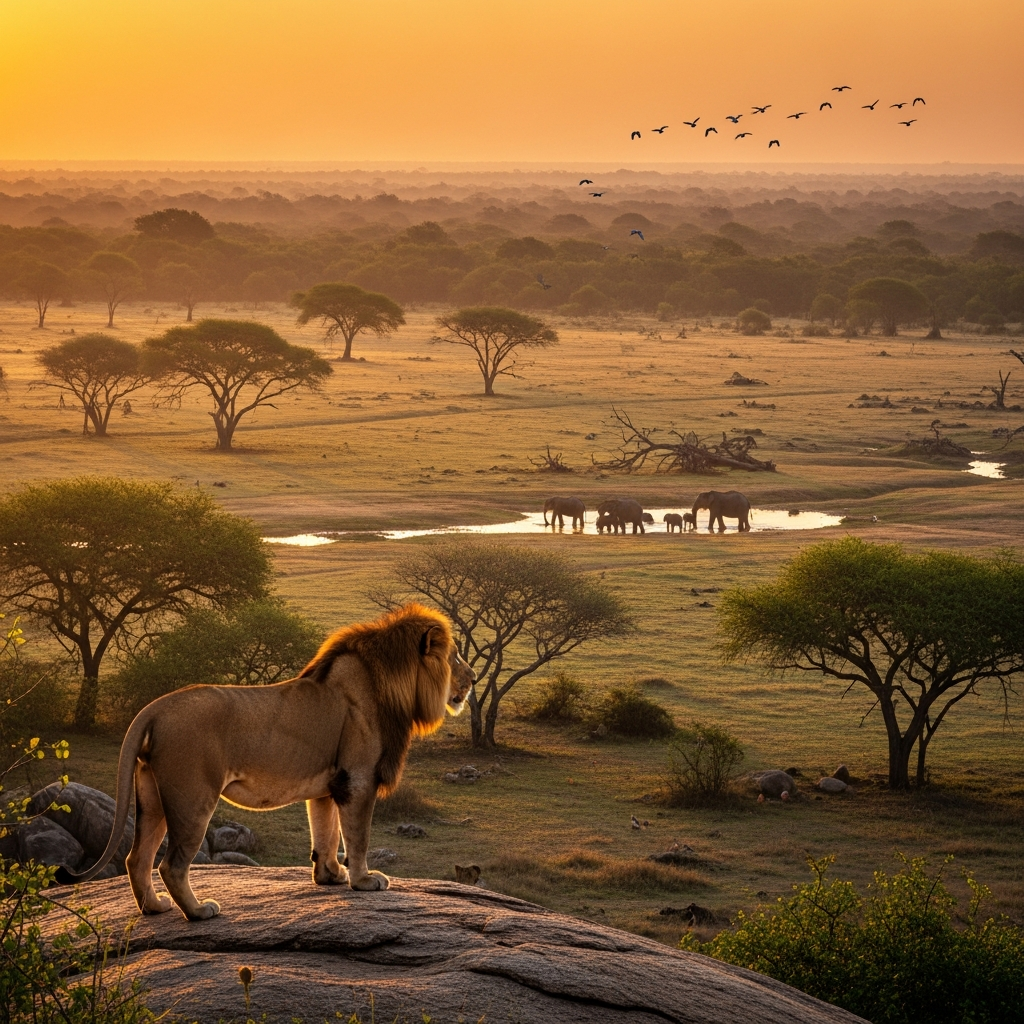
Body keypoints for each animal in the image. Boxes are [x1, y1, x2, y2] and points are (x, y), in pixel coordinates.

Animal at [73, 604, 475, 921]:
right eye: (455, 656)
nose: (473, 678)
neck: (391, 686)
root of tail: (154, 708)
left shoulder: (329, 785)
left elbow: (326, 832)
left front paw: (330, 876)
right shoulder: (358, 779)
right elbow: (357, 837)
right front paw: (363, 880)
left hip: (153, 797)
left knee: (136, 858)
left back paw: (154, 908)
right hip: (192, 798)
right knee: (170, 864)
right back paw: (199, 911)